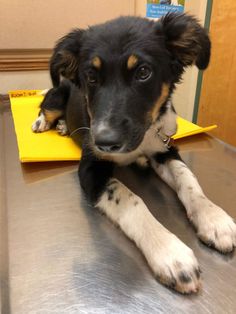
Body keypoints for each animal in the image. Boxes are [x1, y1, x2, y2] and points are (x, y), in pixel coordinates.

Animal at [31, 13, 236, 294]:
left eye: (143, 72)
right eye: (91, 77)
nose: (105, 141)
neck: (144, 136)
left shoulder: (165, 148)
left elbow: (189, 180)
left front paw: (213, 218)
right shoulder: (91, 167)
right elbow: (130, 198)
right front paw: (169, 251)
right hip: (57, 94)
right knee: (46, 106)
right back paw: (45, 123)